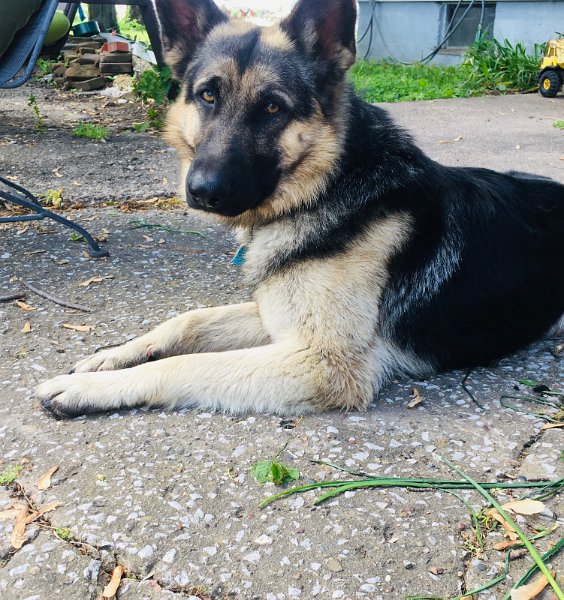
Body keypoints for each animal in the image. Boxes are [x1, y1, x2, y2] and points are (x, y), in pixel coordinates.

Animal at [35, 0, 564, 418]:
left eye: (272, 108)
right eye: (207, 95)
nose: (202, 191)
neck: (327, 188)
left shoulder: (320, 362)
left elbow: (184, 364)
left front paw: (89, 388)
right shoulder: (275, 319)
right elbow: (189, 319)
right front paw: (111, 355)